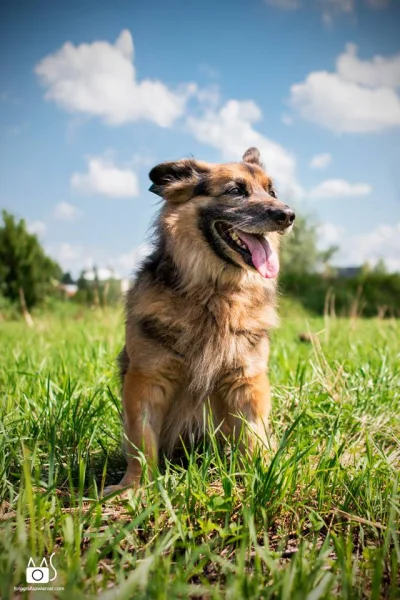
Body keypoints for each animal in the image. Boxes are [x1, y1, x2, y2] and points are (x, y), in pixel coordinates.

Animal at [104, 148, 294, 494]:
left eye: (272, 192)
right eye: (235, 191)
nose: (288, 215)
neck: (214, 294)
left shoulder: (247, 380)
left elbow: (254, 437)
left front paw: (263, 477)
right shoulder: (146, 380)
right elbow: (142, 443)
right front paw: (134, 488)